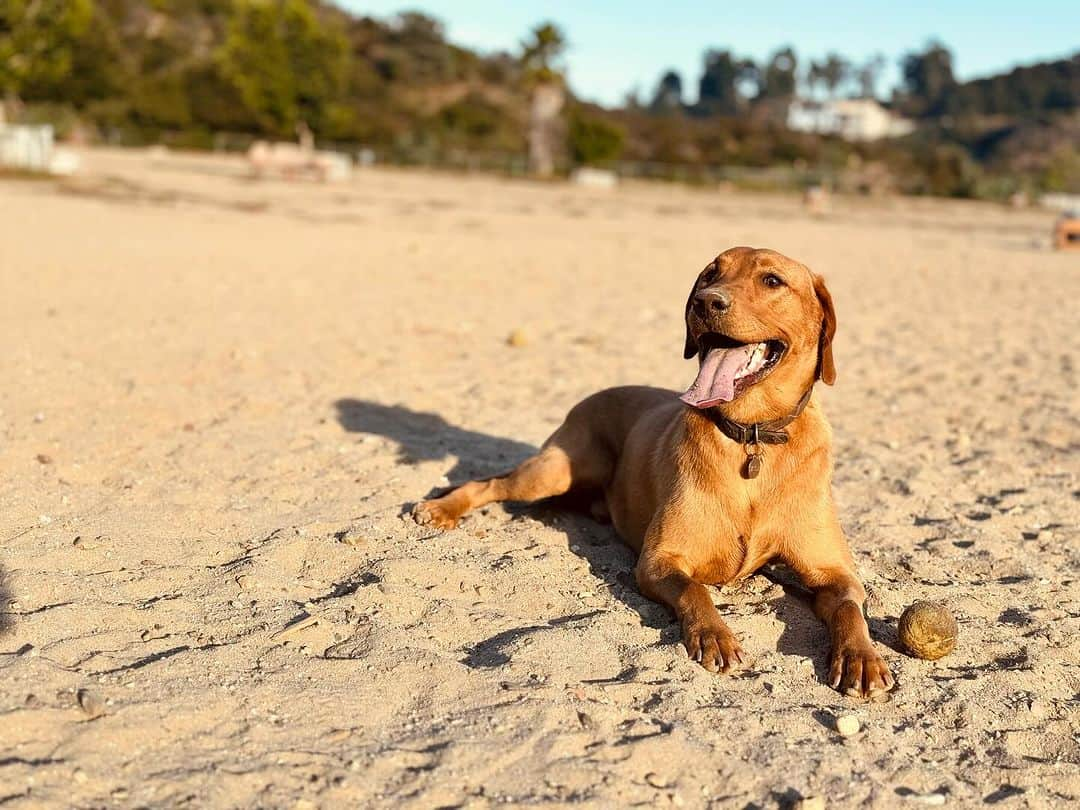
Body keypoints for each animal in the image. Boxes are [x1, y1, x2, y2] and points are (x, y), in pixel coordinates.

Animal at [412, 246, 894, 699]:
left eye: (772, 280)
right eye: (710, 274)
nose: (705, 301)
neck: (751, 436)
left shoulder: (835, 573)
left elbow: (851, 608)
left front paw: (861, 657)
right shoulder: (659, 561)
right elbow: (695, 591)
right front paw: (714, 635)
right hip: (553, 471)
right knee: (490, 482)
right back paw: (440, 509)